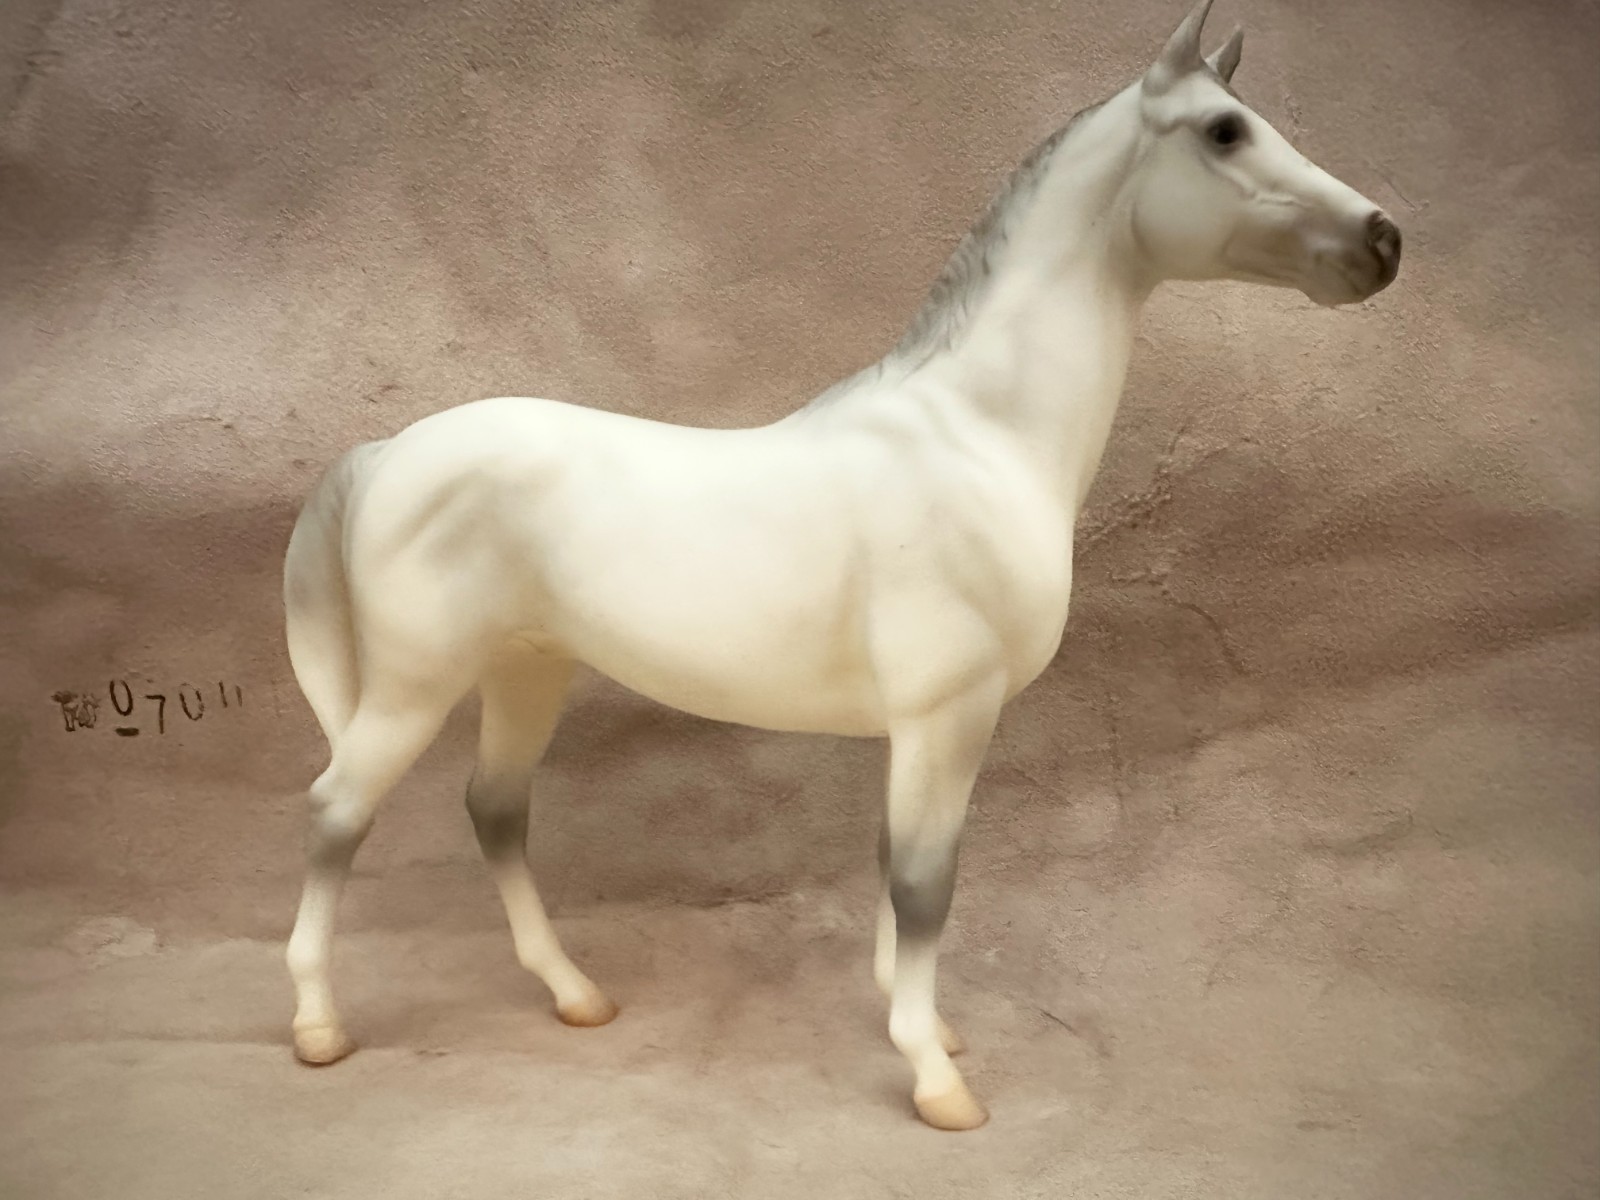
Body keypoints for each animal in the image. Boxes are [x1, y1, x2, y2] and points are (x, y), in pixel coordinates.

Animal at [281, 0, 1401, 1131]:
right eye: (1224, 130)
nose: (1382, 241)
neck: (977, 437)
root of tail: (387, 453)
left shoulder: (918, 727)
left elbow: (890, 863)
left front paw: (928, 1027)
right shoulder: (950, 712)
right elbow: (924, 883)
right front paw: (937, 1078)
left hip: (528, 670)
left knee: (496, 811)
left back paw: (575, 994)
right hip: (418, 684)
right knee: (335, 812)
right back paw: (319, 1028)